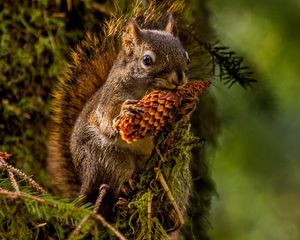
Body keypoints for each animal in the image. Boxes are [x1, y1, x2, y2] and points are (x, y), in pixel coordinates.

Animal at [47, 15, 190, 210]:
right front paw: (126, 110)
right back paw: (126, 184)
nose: (179, 78)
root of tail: (84, 183)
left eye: (187, 58)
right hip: (105, 158)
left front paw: (186, 107)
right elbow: (108, 116)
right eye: (147, 60)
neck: (144, 91)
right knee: (114, 178)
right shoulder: (109, 98)